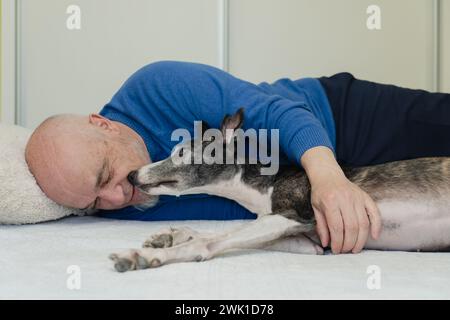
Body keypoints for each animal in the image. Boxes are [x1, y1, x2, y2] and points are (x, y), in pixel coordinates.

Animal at [108, 109, 450, 272]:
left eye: (180, 152)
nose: (132, 175)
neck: (264, 185)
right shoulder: (308, 239)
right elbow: (217, 232)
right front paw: (170, 236)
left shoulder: (295, 214)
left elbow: (211, 240)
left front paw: (147, 254)